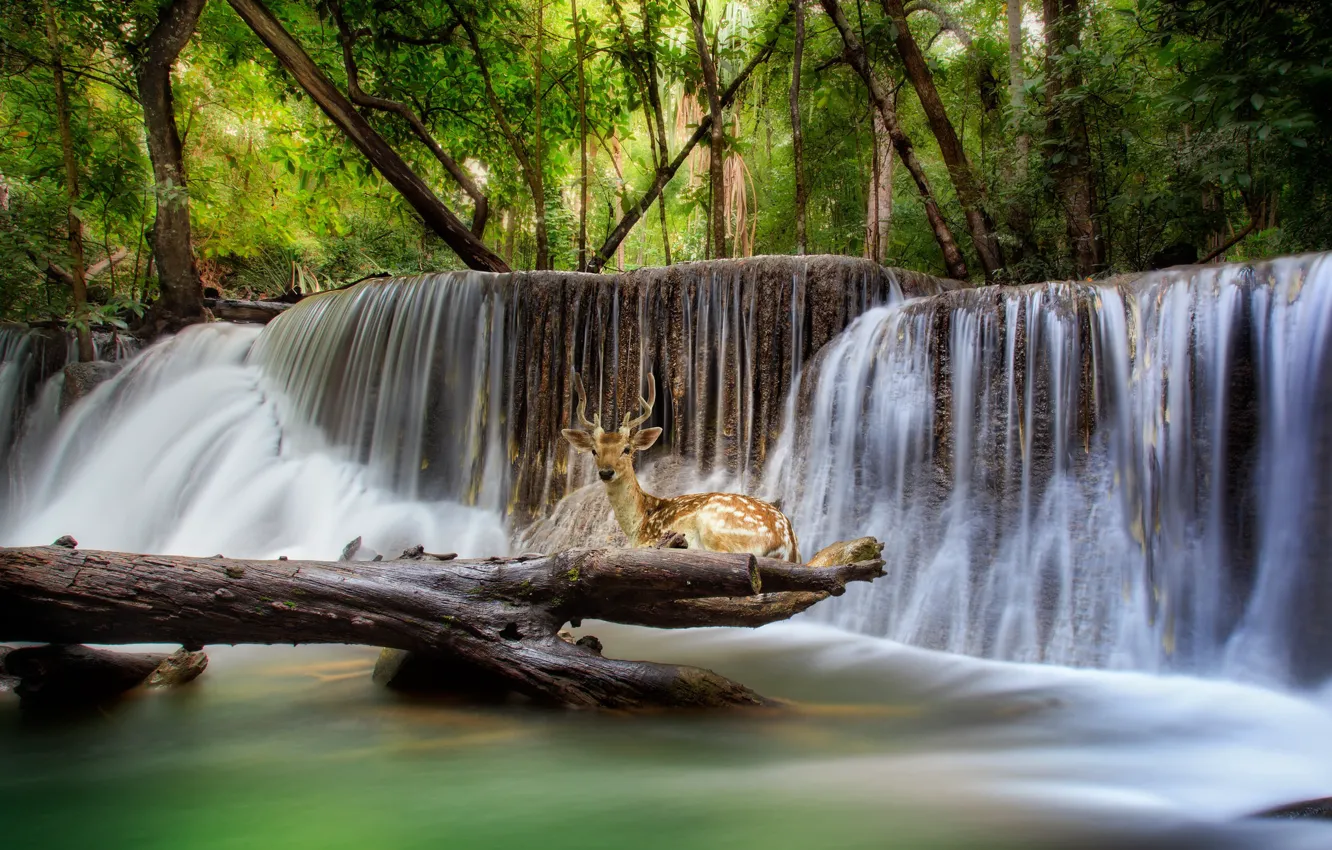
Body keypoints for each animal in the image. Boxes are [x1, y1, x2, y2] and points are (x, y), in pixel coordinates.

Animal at [560, 373, 801, 563]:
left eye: (626, 449)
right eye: (594, 451)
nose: (606, 472)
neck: (639, 522)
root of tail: (787, 542)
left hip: (714, 525)